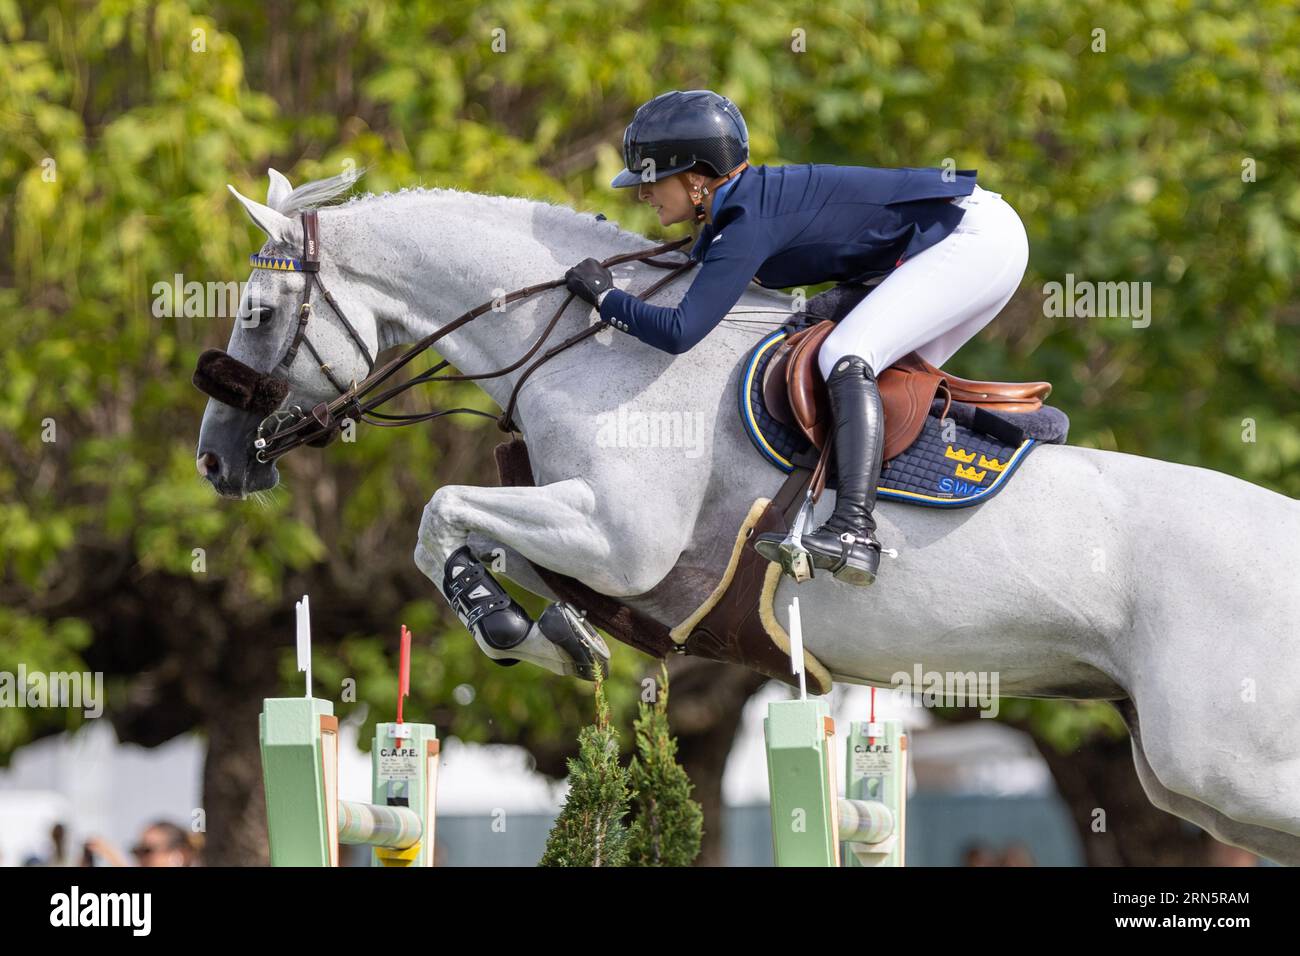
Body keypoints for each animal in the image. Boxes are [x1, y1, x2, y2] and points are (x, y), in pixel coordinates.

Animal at [195, 171, 1300, 868]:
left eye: (256, 311)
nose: (215, 459)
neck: (595, 347)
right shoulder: (593, 540)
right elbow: (474, 534)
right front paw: (545, 629)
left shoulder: (621, 539)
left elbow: (437, 515)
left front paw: (520, 629)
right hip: (1190, 776)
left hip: (1224, 762)